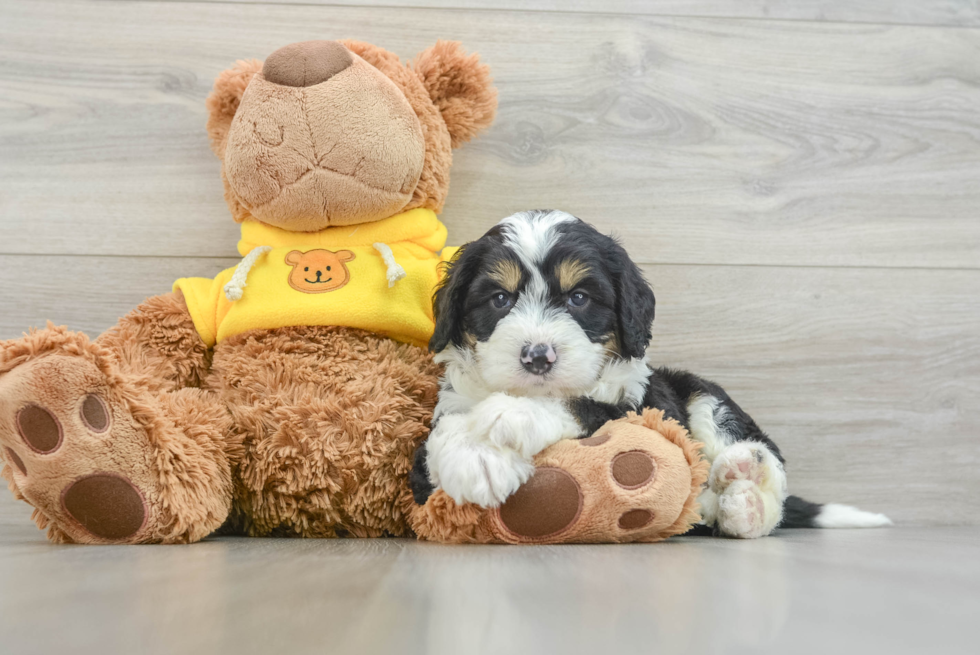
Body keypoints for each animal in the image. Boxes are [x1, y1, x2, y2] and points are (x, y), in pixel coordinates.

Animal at [410, 210, 892, 540]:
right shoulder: (440, 425)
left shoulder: (640, 409)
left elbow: (581, 403)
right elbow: (440, 439)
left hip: (703, 394)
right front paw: (476, 457)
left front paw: (510, 416)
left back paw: (747, 488)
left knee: (763, 464)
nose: (537, 357)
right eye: (499, 299)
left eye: (580, 298)